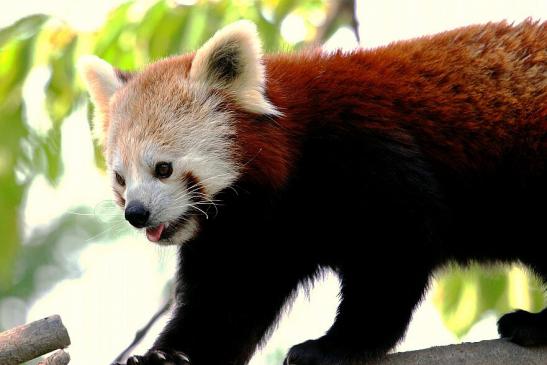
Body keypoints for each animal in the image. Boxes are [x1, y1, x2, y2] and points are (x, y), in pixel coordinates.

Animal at [79, 19, 544, 364]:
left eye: (163, 169)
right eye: (121, 179)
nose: (136, 214)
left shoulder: (366, 155)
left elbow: (394, 252)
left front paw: (336, 346)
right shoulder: (249, 235)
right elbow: (224, 301)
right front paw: (169, 356)